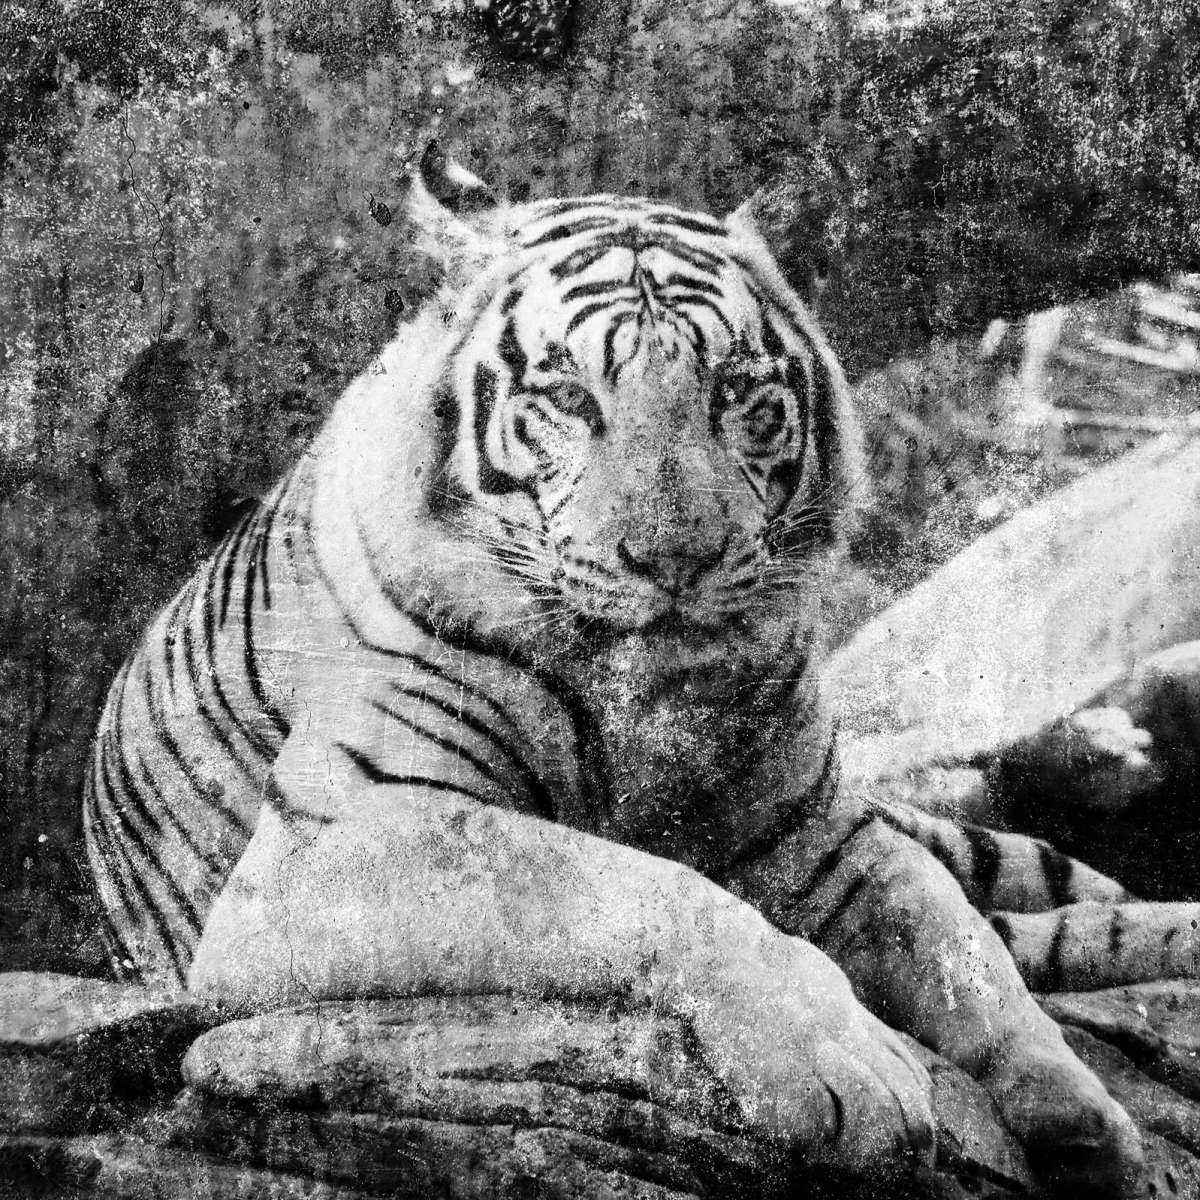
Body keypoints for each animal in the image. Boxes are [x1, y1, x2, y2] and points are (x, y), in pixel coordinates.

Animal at [83, 145, 1200, 1196]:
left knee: (1040, 902)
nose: (676, 559)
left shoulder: (823, 833)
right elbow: (649, 887)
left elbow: (953, 942)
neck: (647, 709)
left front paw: (1084, 1115)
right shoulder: (334, 842)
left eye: (737, 394)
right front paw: (856, 1073)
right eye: (568, 396)